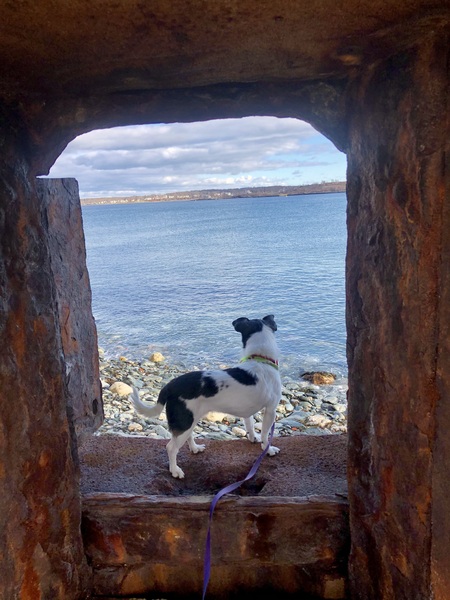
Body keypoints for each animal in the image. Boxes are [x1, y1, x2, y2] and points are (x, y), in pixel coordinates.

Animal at [128, 314, 282, 478]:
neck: (260, 360)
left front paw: (253, 438)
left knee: (188, 437)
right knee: (171, 448)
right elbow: (265, 434)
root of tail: (170, 386)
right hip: (185, 421)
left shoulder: (247, 412)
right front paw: (268, 449)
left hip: (190, 419)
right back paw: (175, 470)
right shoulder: (271, 411)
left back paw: (195, 448)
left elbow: (250, 425)